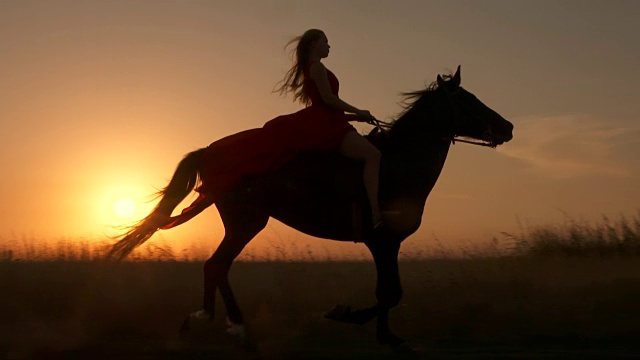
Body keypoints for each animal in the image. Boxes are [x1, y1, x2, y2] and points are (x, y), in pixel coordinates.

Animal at [110, 66, 516, 348]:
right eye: (469, 100)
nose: (508, 127)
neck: (397, 165)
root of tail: (209, 151)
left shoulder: (389, 245)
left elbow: (388, 291)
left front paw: (386, 336)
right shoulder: (382, 241)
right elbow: (390, 292)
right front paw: (345, 315)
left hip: (243, 224)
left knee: (217, 267)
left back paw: (216, 322)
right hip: (246, 223)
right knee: (216, 265)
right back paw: (228, 326)